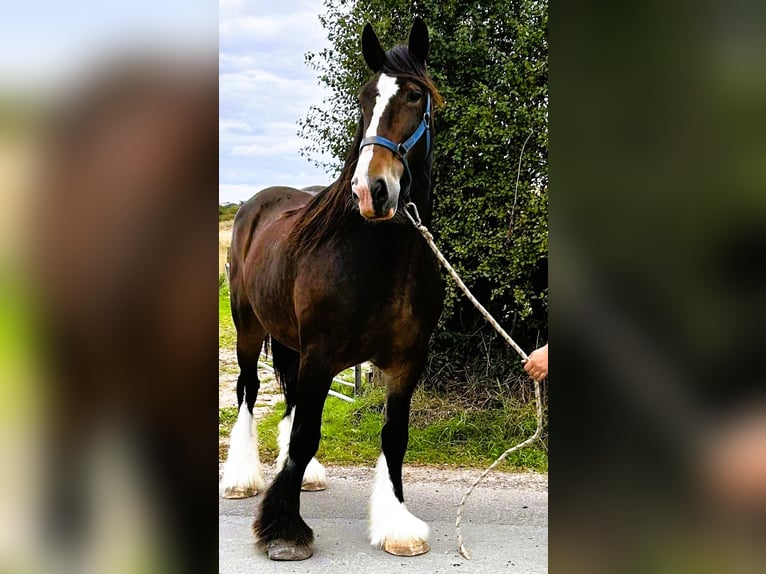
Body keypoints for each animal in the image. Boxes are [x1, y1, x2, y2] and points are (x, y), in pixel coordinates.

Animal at [220, 18, 444, 561]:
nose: (371, 191)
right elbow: (305, 433)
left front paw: (396, 525)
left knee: (288, 394)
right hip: (248, 328)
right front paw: (284, 529)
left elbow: (394, 436)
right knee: (248, 390)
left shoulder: (407, 361)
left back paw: (306, 477)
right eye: (364, 98)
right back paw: (242, 477)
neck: (381, 259)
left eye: (413, 95)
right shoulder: (322, 354)